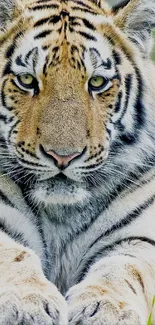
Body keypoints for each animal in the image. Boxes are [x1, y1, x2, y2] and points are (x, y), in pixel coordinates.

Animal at [0, 0, 155, 322]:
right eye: (26, 80)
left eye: (96, 82)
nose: (63, 156)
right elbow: (13, 254)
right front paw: (26, 302)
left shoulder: (139, 236)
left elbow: (124, 269)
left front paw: (107, 308)